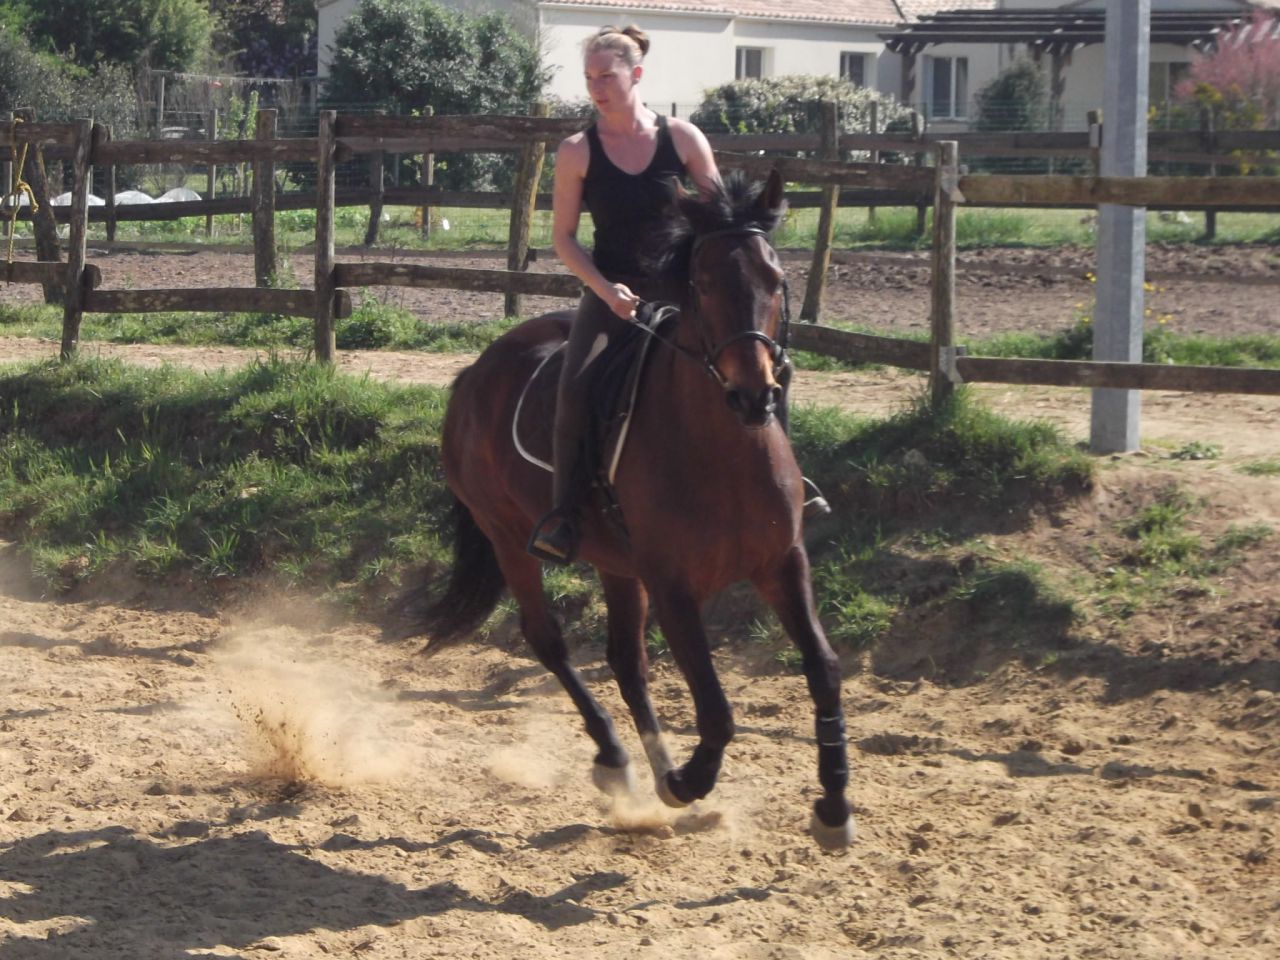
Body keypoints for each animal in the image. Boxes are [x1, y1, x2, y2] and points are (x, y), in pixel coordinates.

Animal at [425, 169, 853, 849]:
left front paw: (834, 805)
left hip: (615, 563)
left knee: (626, 662)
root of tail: (474, 373)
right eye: (705, 283)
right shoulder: (673, 585)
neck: (721, 448)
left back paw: (644, 771)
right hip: (507, 535)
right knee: (548, 641)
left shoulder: (782, 563)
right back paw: (619, 760)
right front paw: (688, 781)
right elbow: (716, 708)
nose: (754, 393)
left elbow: (824, 670)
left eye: (776, 279)